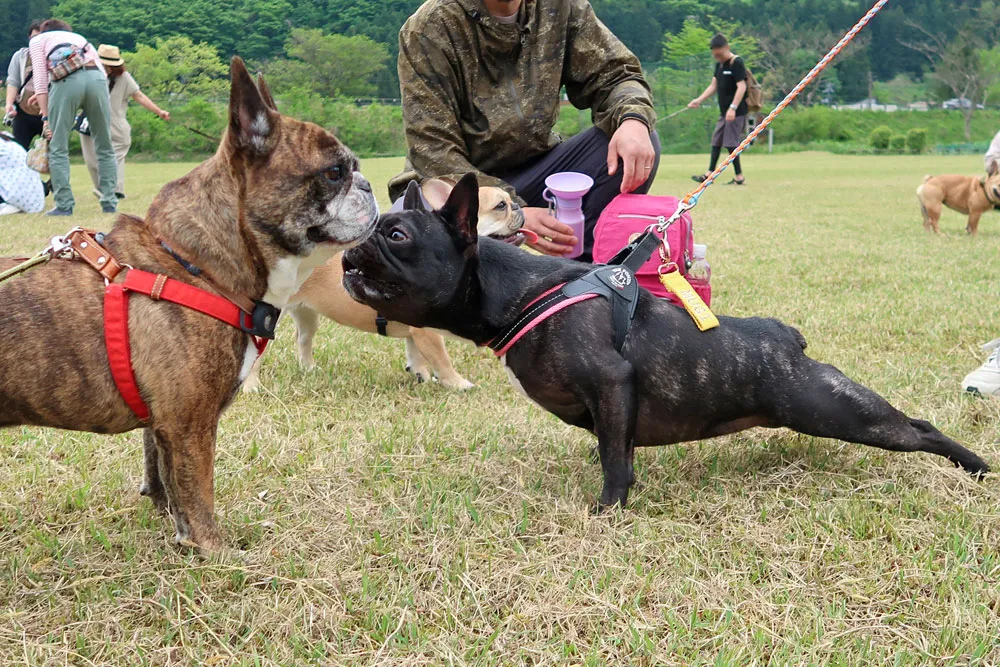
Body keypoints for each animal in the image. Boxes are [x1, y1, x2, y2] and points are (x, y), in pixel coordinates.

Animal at [0, 60, 378, 552]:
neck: (195, 264)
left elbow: (163, 478)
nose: (368, 185)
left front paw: (175, 530)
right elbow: (198, 493)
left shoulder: (164, 426)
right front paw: (216, 552)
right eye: (334, 173)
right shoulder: (190, 426)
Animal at [243, 180, 528, 394]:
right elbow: (441, 359)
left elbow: (416, 355)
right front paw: (458, 384)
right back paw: (251, 385)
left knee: (303, 339)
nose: (519, 206)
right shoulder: (428, 333)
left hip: (306, 315)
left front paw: (421, 375)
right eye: (500, 206)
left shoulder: (417, 330)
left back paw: (308, 368)